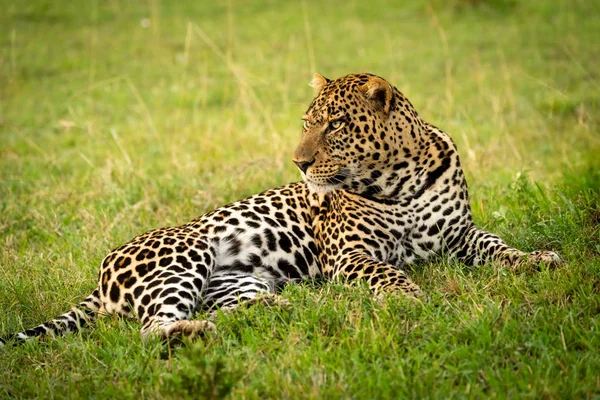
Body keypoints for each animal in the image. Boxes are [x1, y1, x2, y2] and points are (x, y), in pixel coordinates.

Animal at [1, 73, 564, 346]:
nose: (299, 161)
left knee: (225, 308)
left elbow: (500, 246)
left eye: (335, 125)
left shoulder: (461, 233)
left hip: (242, 282)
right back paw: (197, 334)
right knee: (153, 328)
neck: (400, 178)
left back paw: (292, 307)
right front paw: (410, 299)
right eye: (307, 122)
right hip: (188, 251)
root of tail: (99, 277)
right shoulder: (351, 255)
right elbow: (389, 273)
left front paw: (539, 259)